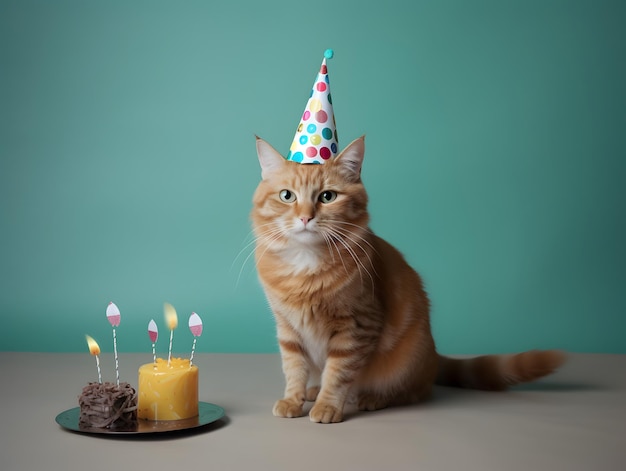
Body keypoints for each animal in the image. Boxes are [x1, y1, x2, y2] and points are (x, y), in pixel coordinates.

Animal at [250, 136, 564, 424]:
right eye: (287, 196)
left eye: (327, 197)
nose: (305, 218)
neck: (305, 265)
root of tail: (434, 356)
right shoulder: (288, 329)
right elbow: (294, 370)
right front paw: (293, 400)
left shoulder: (356, 328)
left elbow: (338, 374)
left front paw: (327, 406)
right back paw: (314, 391)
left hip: (407, 360)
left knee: (412, 392)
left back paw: (371, 398)